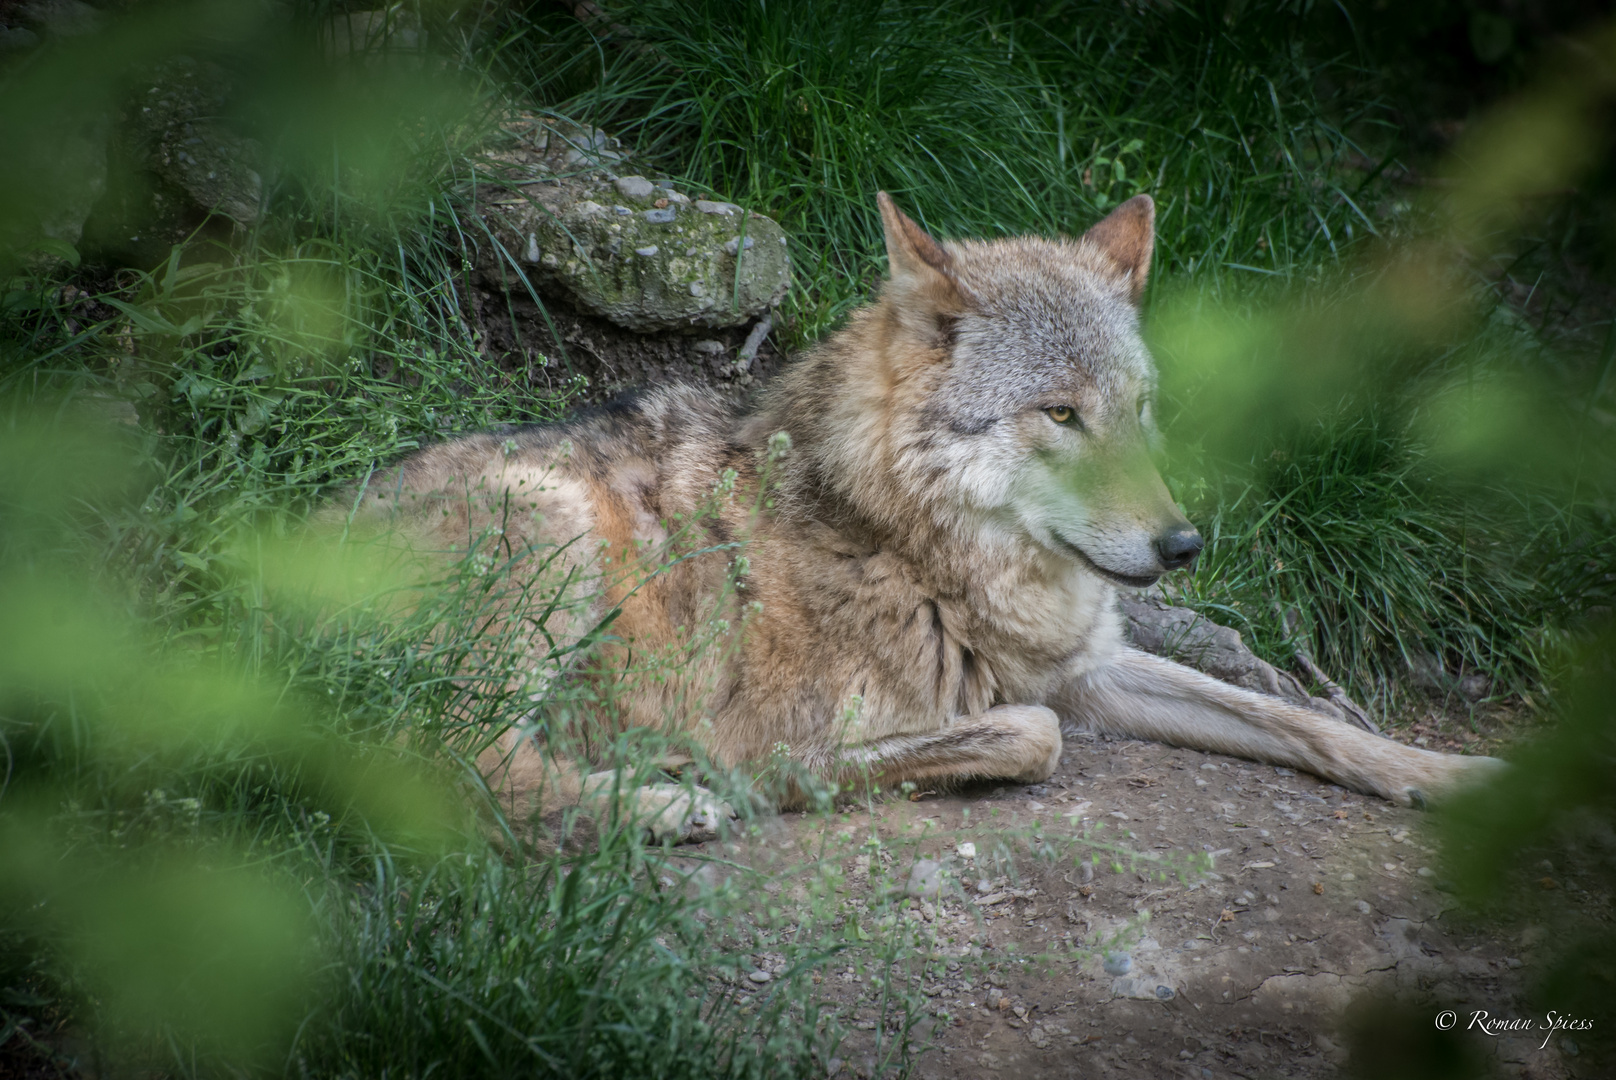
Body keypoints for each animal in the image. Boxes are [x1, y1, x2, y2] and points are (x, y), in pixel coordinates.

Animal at [350, 189, 1499, 840]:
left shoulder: (1088, 666)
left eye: (1137, 412)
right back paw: (656, 802)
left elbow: (1302, 721)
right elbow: (1025, 735)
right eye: (1059, 413)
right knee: (444, 760)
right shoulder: (967, 705)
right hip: (548, 532)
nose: (1182, 547)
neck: (918, 555)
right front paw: (743, 773)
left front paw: (1450, 776)